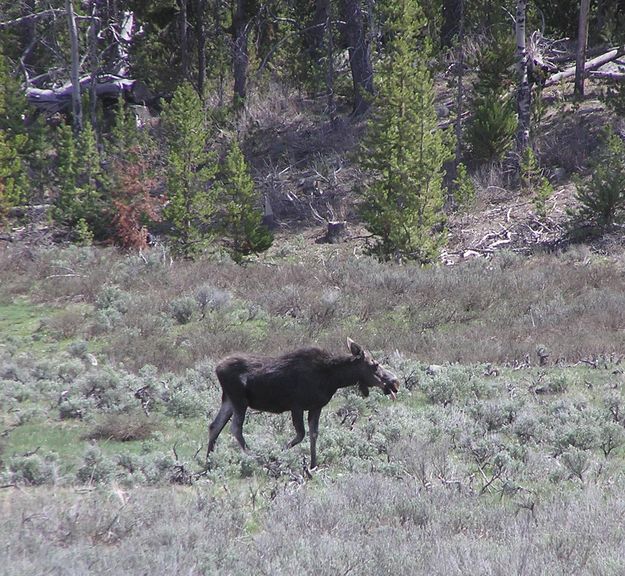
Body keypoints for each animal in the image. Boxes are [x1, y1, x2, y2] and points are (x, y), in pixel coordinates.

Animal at [206, 338, 400, 468]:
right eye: (375, 364)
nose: (395, 382)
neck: (333, 379)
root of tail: (216, 368)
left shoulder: (316, 407)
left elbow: (314, 434)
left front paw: (314, 464)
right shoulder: (296, 406)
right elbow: (301, 435)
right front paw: (277, 455)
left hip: (228, 400)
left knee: (214, 425)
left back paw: (209, 462)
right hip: (239, 400)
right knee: (235, 428)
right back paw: (255, 457)